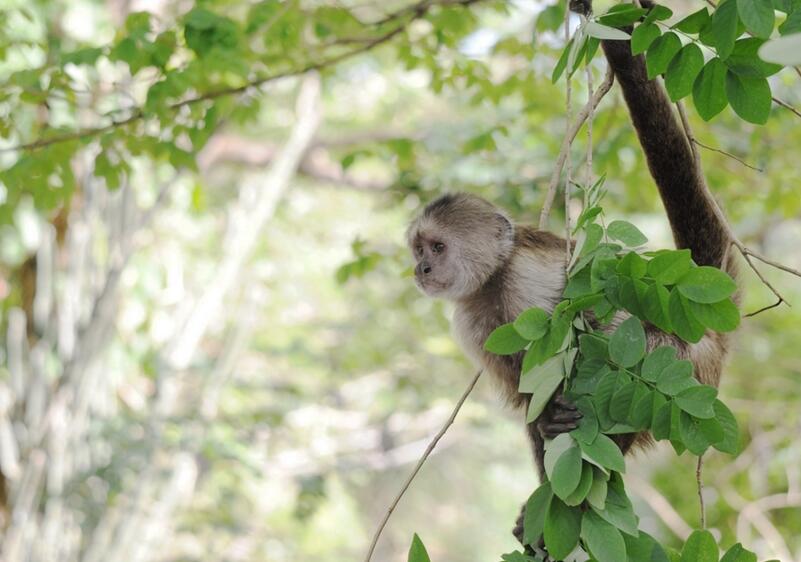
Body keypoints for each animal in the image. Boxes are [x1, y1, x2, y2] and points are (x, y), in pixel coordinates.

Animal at [406, 0, 736, 552]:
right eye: (418, 249)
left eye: (438, 247)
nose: (422, 268)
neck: (492, 283)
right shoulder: (470, 324)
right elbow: (529, 399)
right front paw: (546, 439)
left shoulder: (525, 281)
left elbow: (594, 330)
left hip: (685, 368)